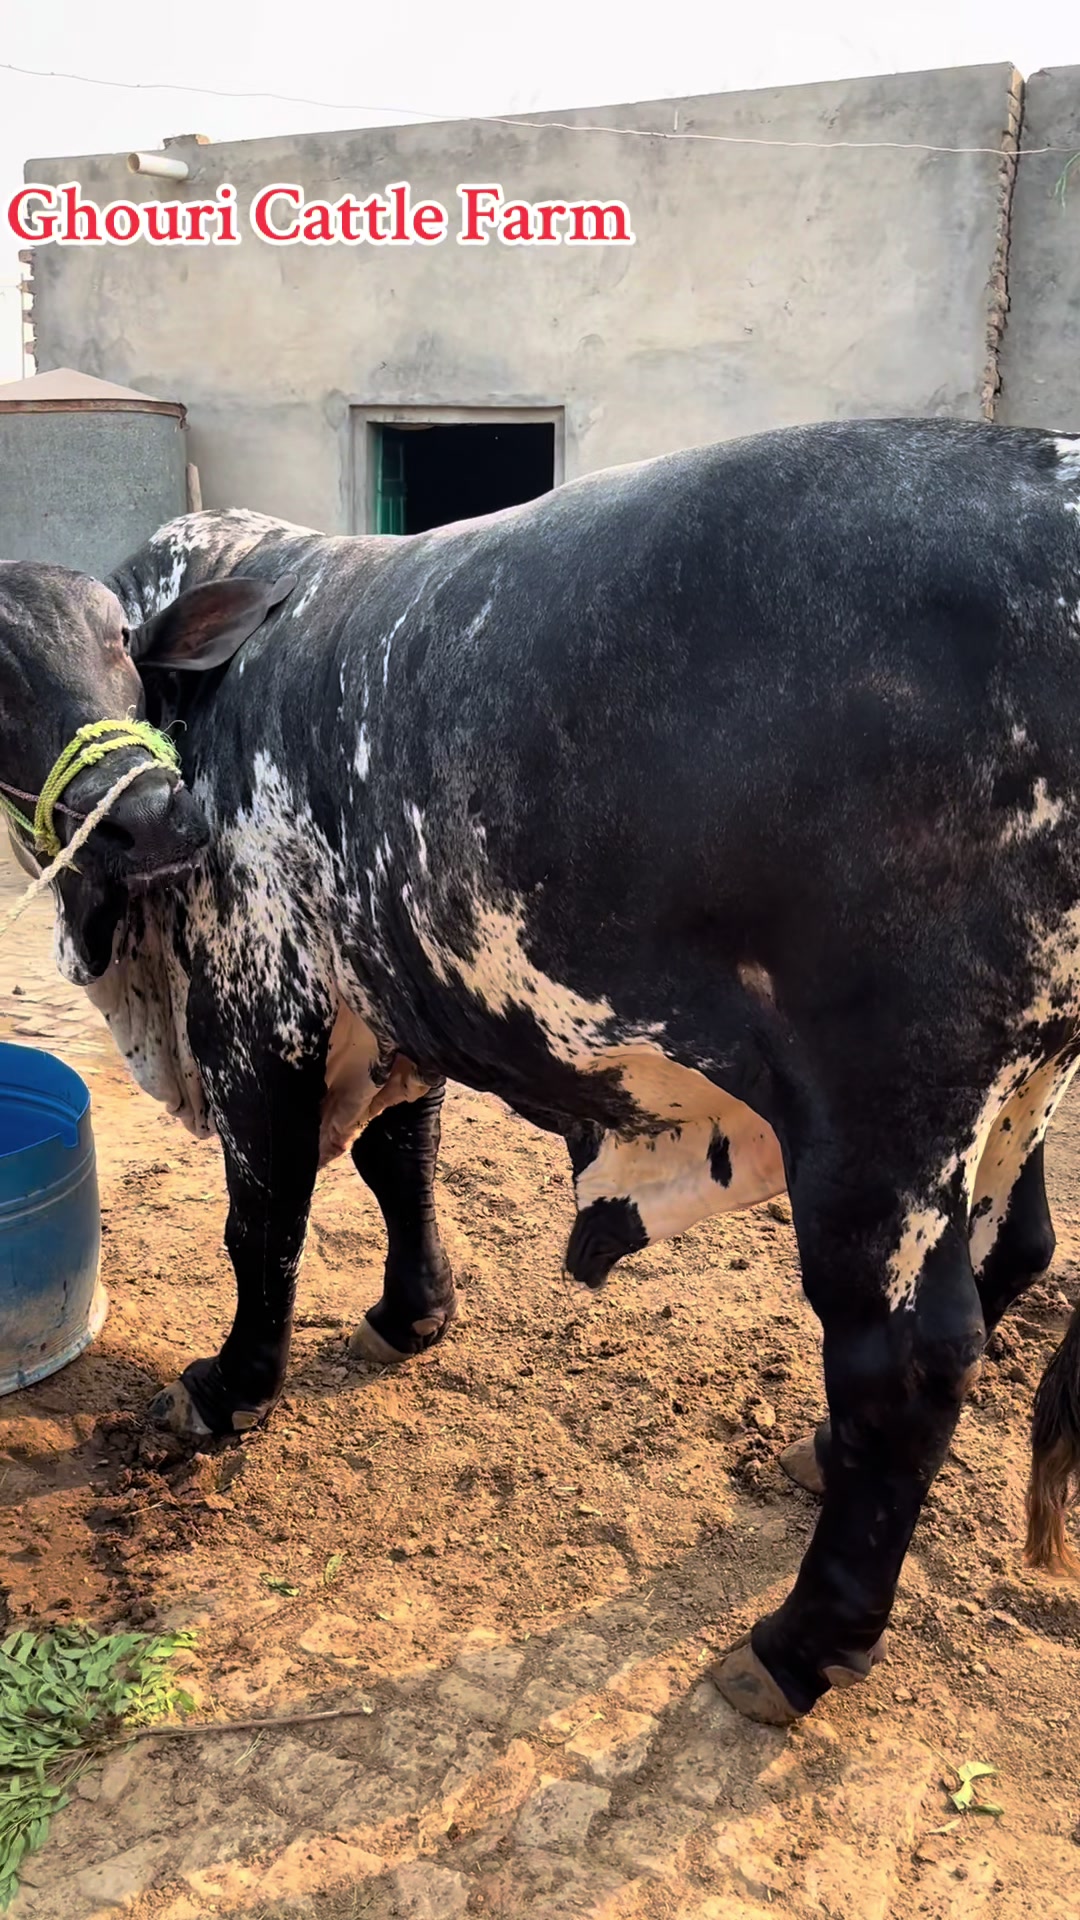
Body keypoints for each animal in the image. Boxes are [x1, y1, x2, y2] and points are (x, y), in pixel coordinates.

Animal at [2, 416, 1079, 1731]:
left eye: (117, 647)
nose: (155, 813)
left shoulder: (263, 1008)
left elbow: (263, 1227)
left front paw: (227, 1387)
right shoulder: (394, 996)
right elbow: (398, 1164)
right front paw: (411, 1313)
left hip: (889, 1107)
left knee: (912, 1362)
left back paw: (803, 1642)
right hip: (1023, 1077)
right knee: (1015, 1249)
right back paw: (822, 1463)